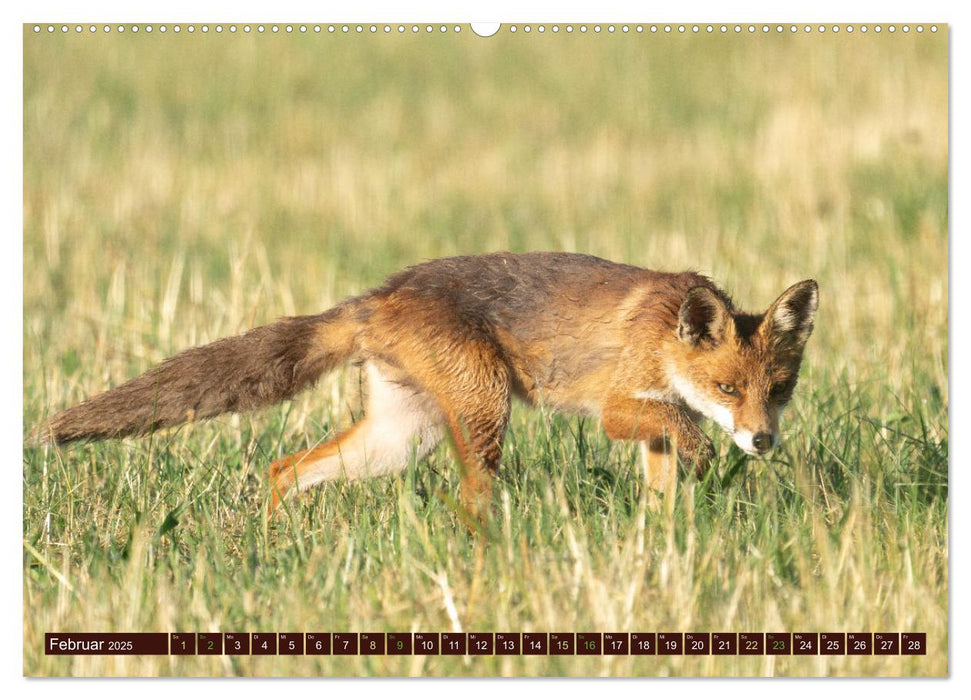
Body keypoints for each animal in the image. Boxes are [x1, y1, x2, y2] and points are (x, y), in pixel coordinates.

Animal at [36, 252, 820, 516]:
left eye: (777, 390)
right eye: (727, 389)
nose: (762, 441)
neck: (663, 336)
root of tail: (377, 295)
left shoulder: (651, 422)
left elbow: (662, 495)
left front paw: (658, 551)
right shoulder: (616, 406)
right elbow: (680, 433)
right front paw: (706, 457)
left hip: (396, 440)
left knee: (284, 468)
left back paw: (273, 540)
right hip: (484, 413)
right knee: (470, 499)